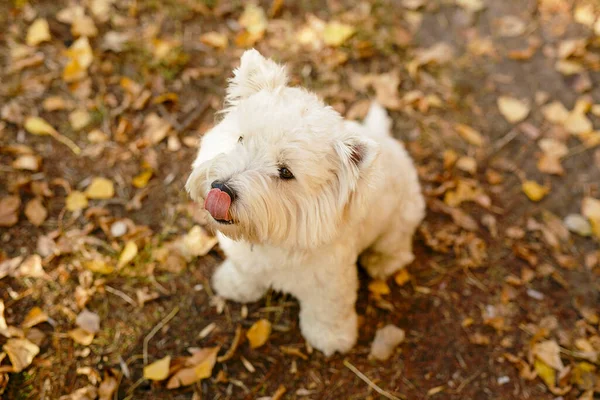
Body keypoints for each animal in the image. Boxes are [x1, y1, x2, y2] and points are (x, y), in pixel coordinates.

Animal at [185, 50, 424, 356]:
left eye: (285, 172)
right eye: (240, 139)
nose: (220, 189)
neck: (273, 235)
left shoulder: (329, 283)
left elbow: (327, 312)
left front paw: (331, 338)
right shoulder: (247, 259)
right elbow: (244, 271)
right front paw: (233, 285)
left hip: (400, 219)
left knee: (399, 249)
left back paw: (381, 261)